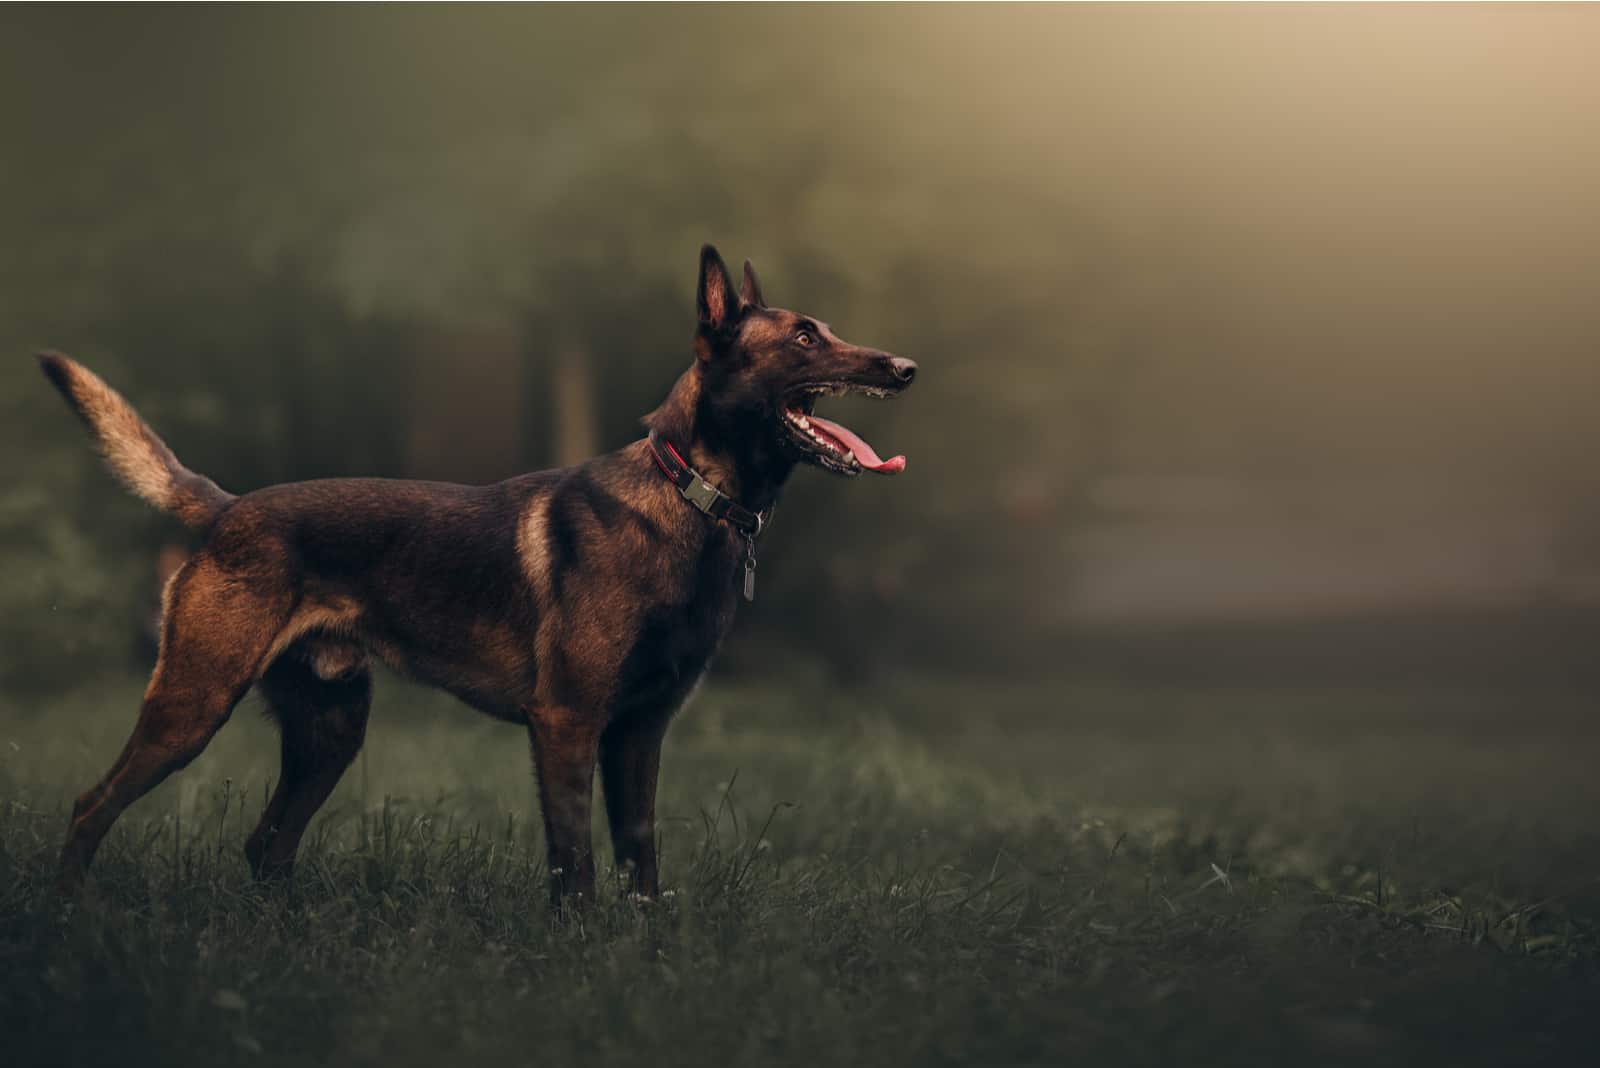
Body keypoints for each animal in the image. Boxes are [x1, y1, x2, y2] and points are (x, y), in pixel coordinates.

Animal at [40, 247, 915, 901]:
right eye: (802, 340)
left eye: (826, 330)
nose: (905, 366)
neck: (688, 498)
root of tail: (226, 509)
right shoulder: (565, 723)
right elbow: (576, 868)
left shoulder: (641, 733)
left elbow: (640, 866)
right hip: (193, 706)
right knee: (90, 806)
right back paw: (72, 912)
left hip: (330, 731)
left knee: (267, 845)